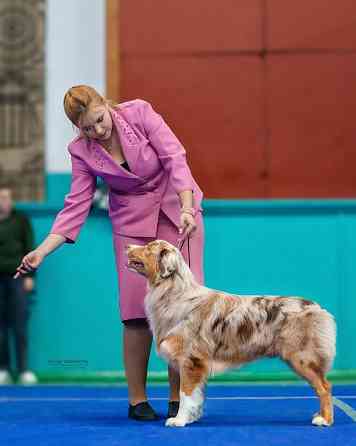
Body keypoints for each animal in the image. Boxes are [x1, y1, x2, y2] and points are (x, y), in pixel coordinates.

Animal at [126, 239, 336, 426]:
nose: (127, 245)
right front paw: (192, 417)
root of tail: (316, 307)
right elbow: (195, 395)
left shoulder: (191, 360)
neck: (173, 292)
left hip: (302, 358)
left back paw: (324, 420)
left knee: (325, 386)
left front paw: (179, 420)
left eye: (148, 247)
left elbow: (185, 393)